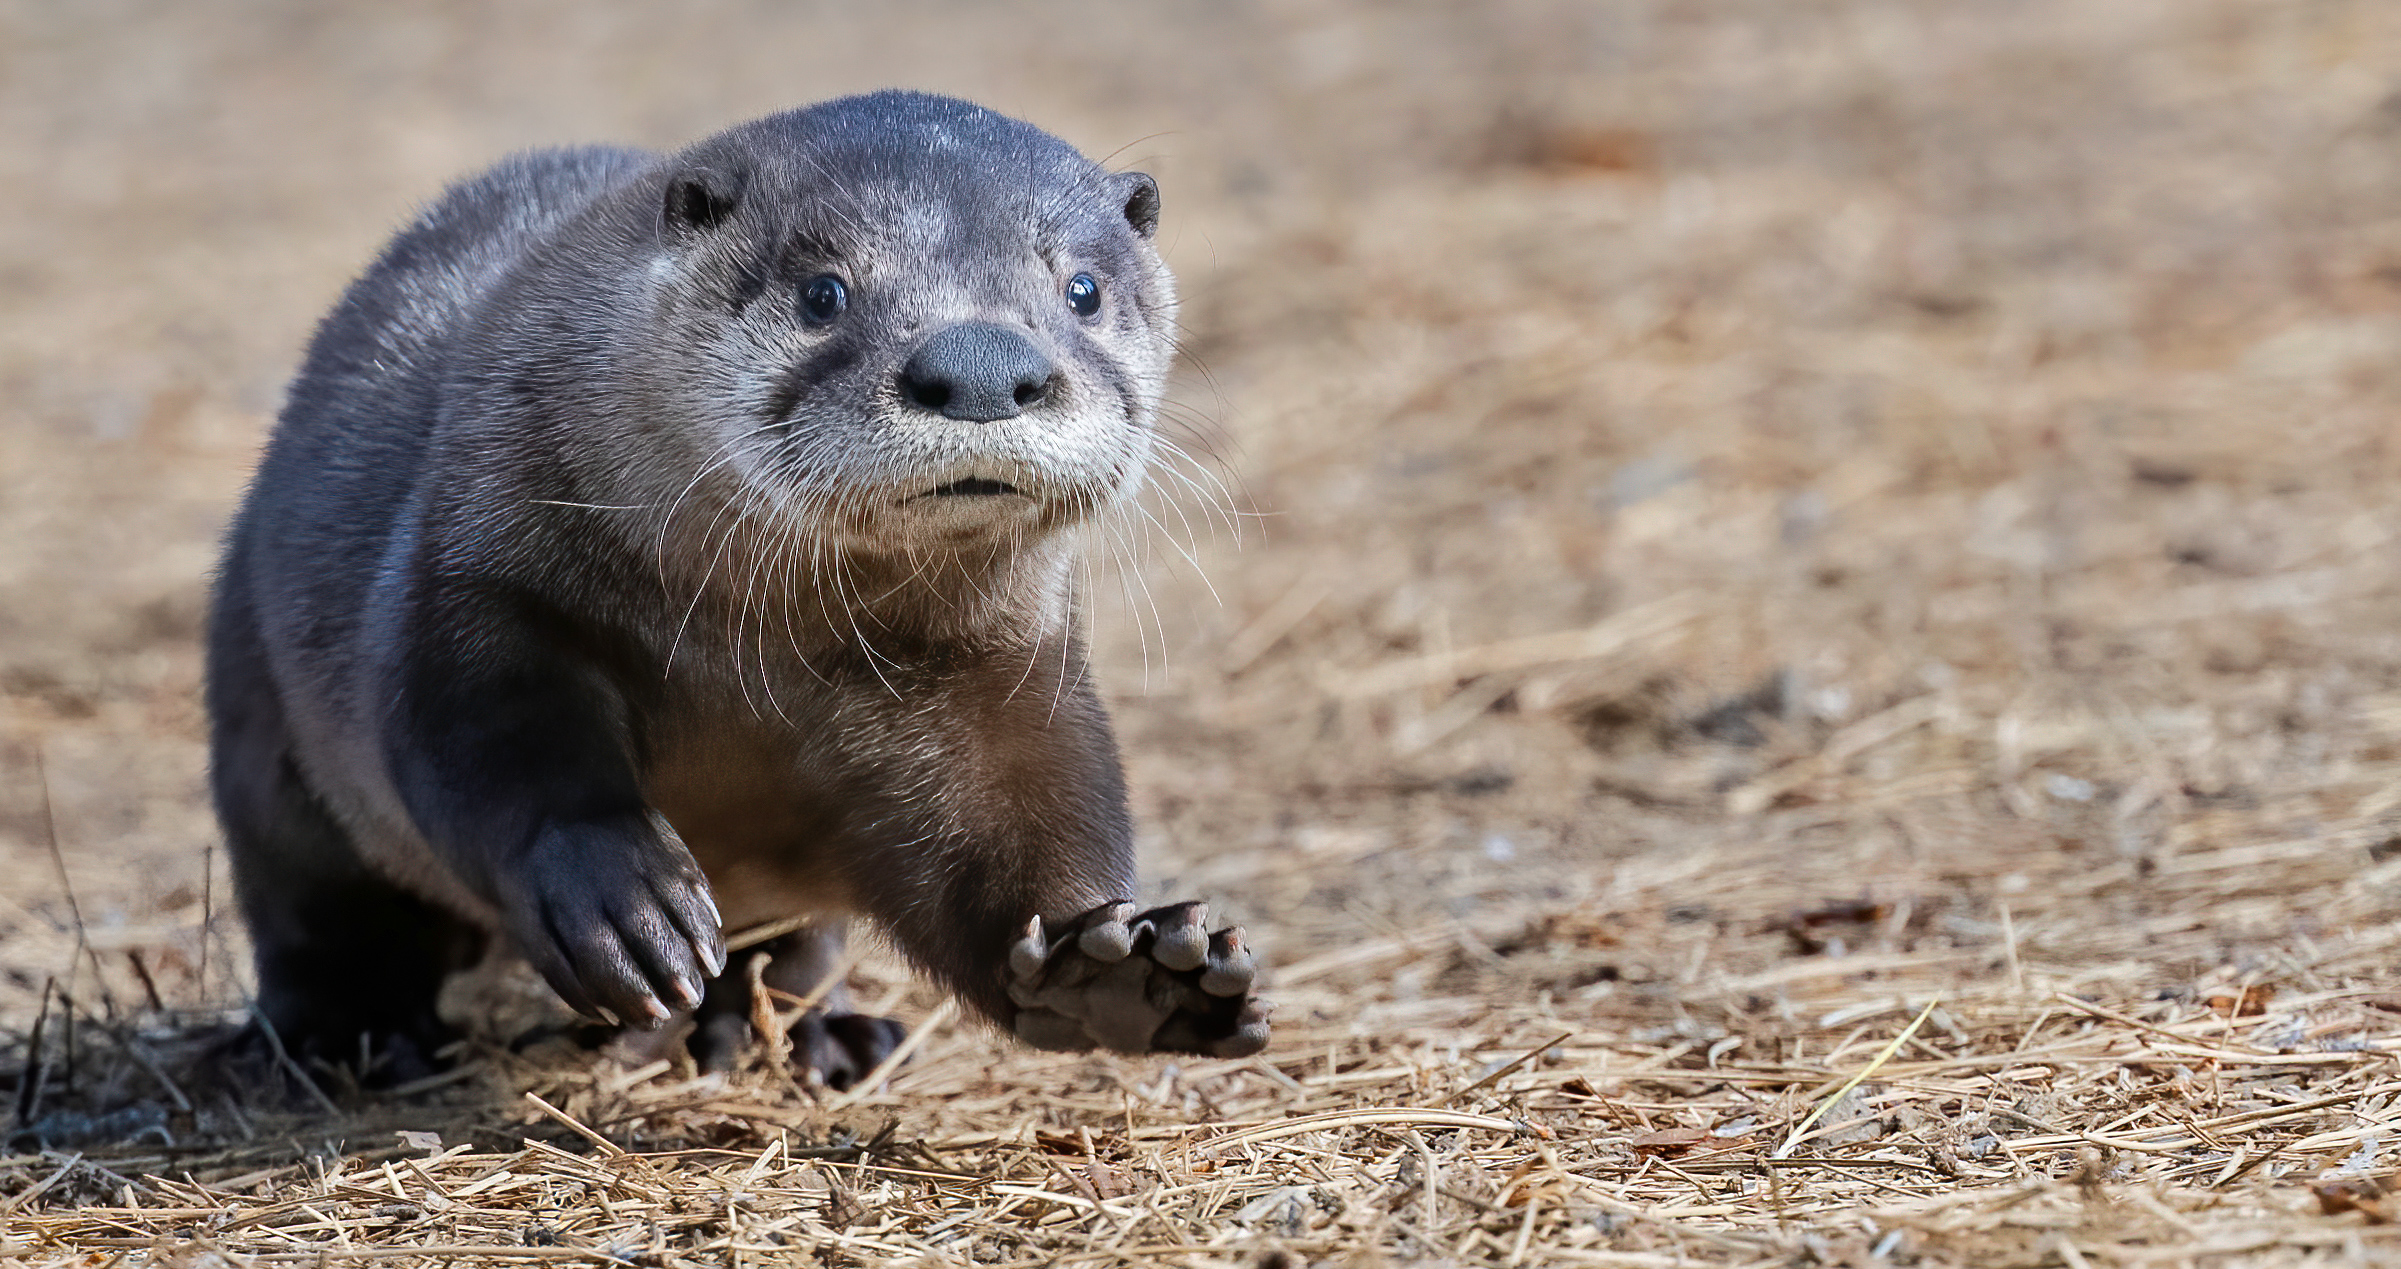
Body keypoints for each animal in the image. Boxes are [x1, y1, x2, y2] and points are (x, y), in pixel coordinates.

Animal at [205, 91, 1267, 1087]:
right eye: (823, 291)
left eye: (1081, 289)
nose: (979, 364)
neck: (749, 661)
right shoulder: (476, 575)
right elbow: (486, 742)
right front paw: (618, 899)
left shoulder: (1001, 673)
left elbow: (1015, 830)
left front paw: (1118, 971)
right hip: (264, 737)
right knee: (319, 917)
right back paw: (354, 1038)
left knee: (792, 953)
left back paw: (807, 1036)